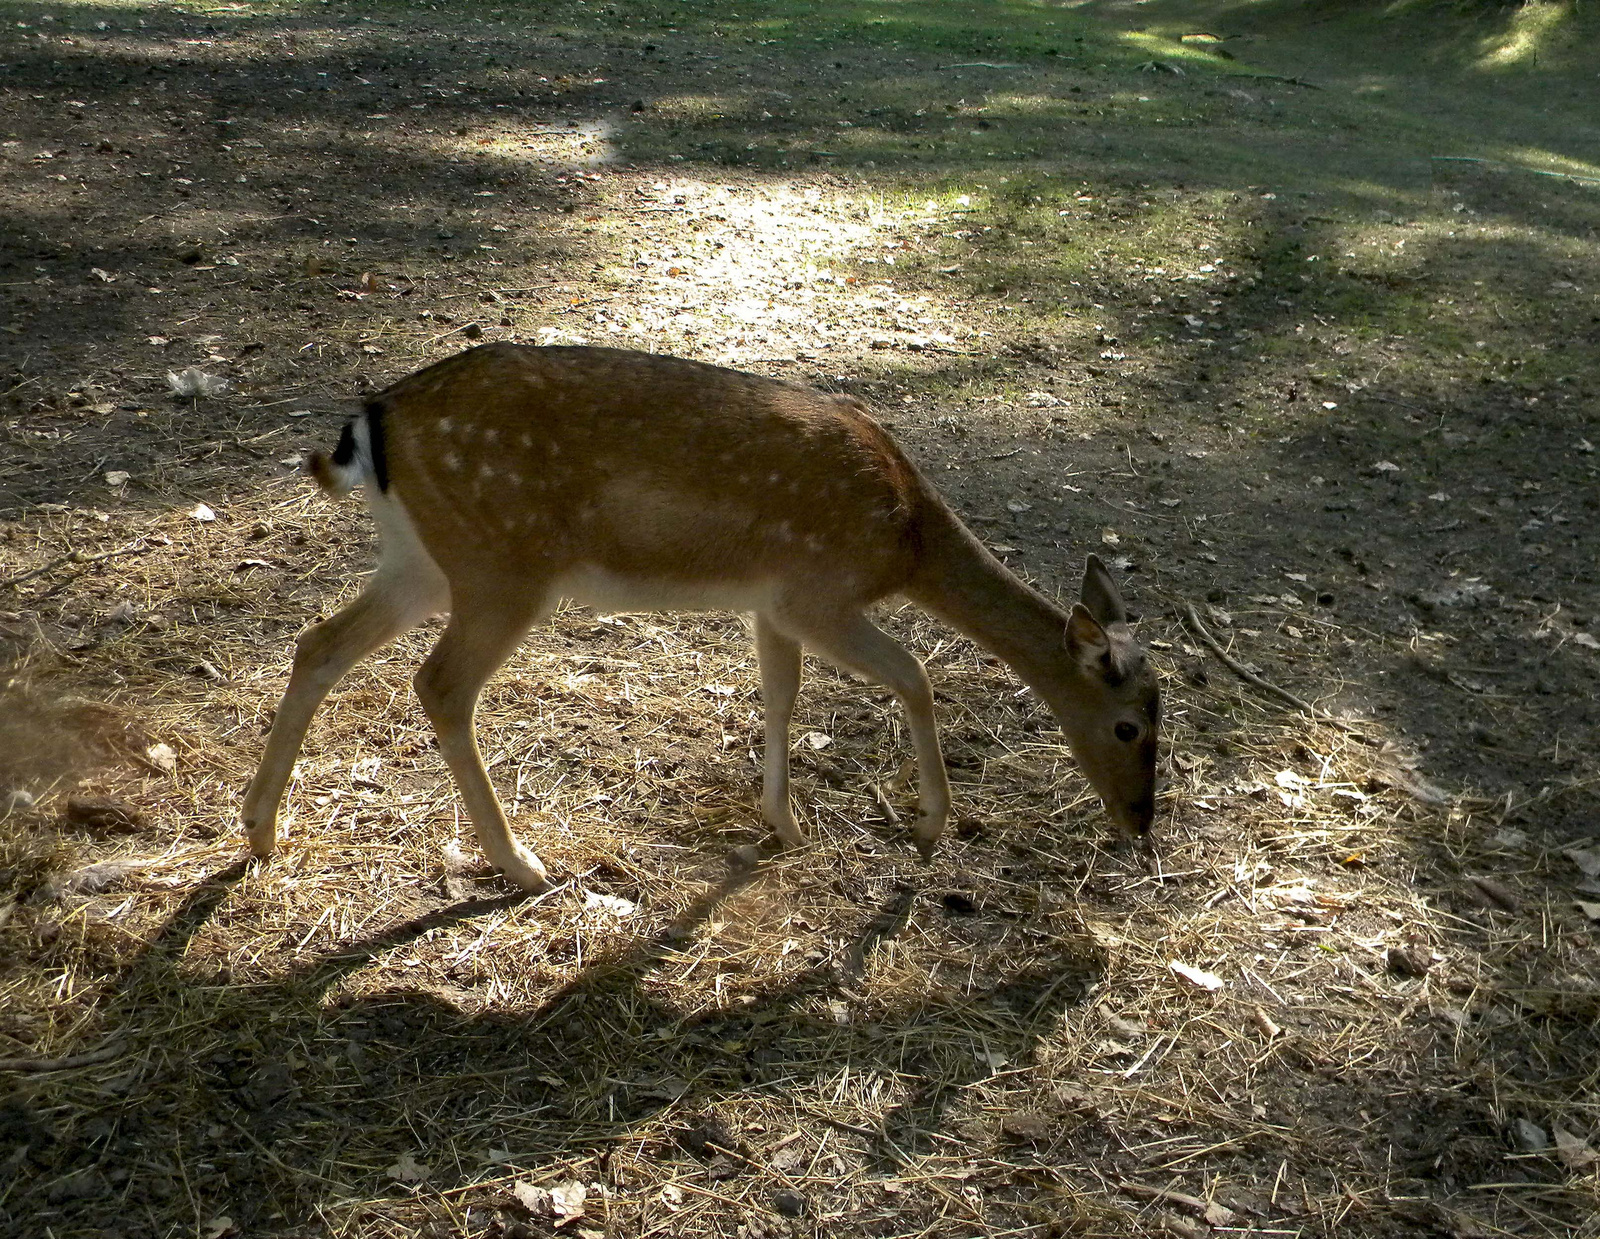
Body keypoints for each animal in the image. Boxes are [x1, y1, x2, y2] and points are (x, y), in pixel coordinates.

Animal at [240, 347, 1164, 890]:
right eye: (1129, 725)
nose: (1143, 823)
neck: (905, 540)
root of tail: (370, 423)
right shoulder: (819, 591)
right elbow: (916, 674)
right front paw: (930, 826)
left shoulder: (772, 602)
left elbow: (782, 694)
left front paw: (784, 825)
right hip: (502, 564)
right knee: (438, 684)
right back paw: (524, 862)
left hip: (424, 562)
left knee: (318, 642)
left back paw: (259, 832)